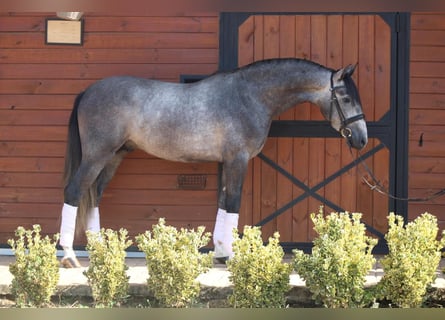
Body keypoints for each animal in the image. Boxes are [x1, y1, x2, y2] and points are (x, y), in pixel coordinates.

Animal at [58, 58, 364, 268]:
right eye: (346, 98)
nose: (361, 139)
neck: (249, 96)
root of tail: (88, 92)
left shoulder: (227, 162)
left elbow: (223, 202)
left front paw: (219, 252)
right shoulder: (237, 160)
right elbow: (233, 203)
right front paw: (229, 255)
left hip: (115, 155)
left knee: (94, 195)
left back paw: (100, 251)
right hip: (98, 154)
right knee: (75, 192)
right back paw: (70, 256)